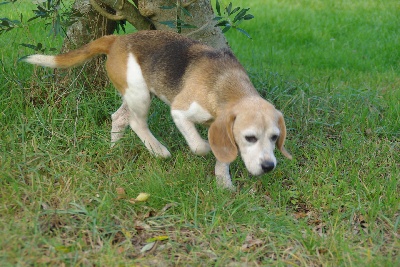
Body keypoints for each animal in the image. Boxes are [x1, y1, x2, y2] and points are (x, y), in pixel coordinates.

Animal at [22, 30, 290, 191]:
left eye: (274, 137)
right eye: (249, 138)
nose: (269, 166)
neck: (226, 84)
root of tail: (117, 39)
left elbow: (221, 156)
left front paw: (224, 183)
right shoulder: (180, 111)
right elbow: (200, 146)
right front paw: (204, 150)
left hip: (136, 92)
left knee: (119, 118)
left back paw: (114, 149)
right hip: (140, 95)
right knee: (136, 123)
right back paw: (158, 150)